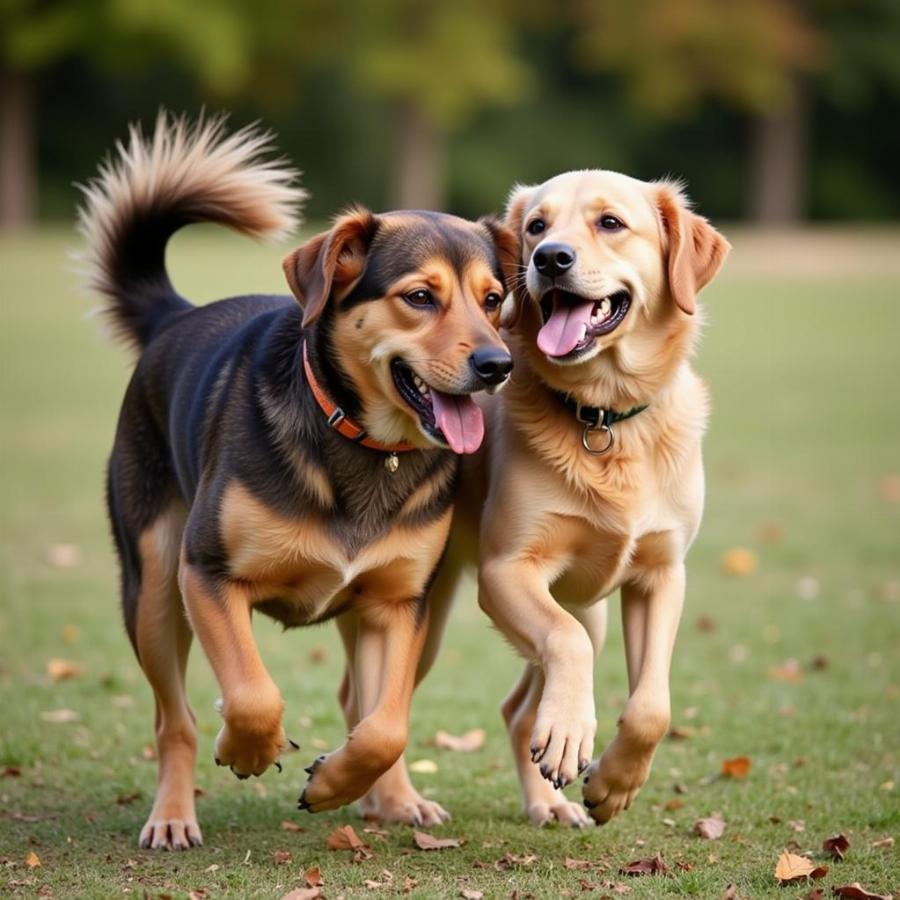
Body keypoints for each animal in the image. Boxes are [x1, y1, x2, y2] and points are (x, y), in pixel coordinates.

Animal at [81, 114, 516, 852]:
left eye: (493, 301)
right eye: (419, 297)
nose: (498, 364)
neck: (364, 444)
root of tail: (175, 316)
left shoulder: (399, 602)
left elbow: (386, 726)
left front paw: (336, 782)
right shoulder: (209, 575)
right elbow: (253, 694)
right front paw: (248, 747)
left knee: (367, 704)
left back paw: (396, 799)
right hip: (154, 587)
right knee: (174, 720)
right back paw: (172, 815)